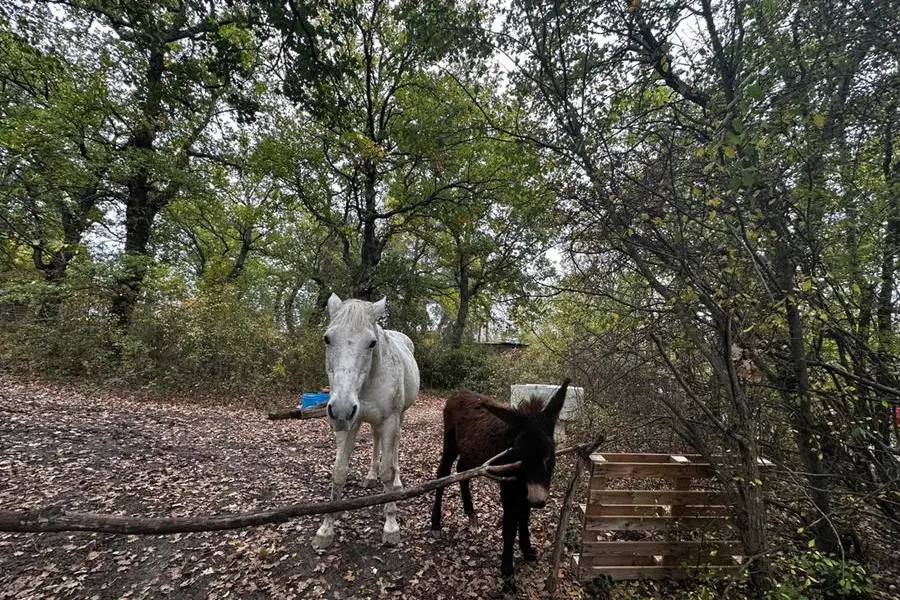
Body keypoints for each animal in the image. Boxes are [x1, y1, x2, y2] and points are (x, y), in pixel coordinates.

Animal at [313, 293, 420, 548]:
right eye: (327, 339)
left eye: (372, 343)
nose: (341, 409)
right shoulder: (348, 424)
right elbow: (339, 471)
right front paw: (326, 528)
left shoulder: (390, 419)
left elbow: (387, 470)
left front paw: (391, 525)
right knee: (375, 438)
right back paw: (371, 476)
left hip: (398, 417)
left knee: (395, 447)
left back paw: (397, 483)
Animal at [429, 379, 570, 588]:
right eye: (519, 456)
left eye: (548, 455)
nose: (538, 500)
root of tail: (458, 393)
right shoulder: (509, 488)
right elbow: (510, 527)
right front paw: (508, 574)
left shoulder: (523, 488)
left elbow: (524, 517)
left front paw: (527, 550)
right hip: (450, 444)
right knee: (443, 475)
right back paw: (436, 523)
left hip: (470, 453)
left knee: (462, 470)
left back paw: (471, 514)